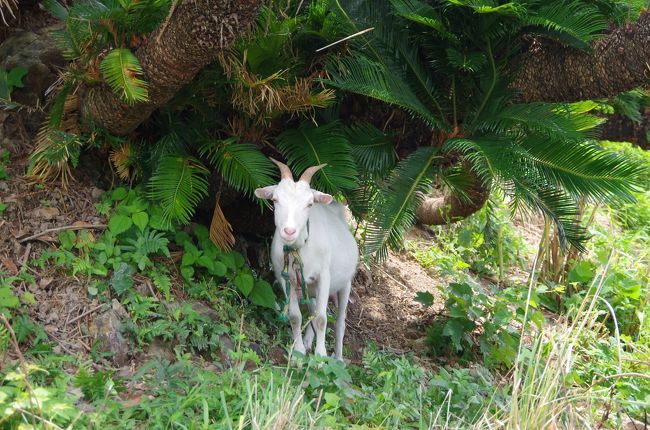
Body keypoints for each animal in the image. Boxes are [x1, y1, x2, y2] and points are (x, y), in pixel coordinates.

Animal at [253, 158, 356, 360]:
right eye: (275, 200)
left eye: (309, 204)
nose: (289, 231)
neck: (300, 248)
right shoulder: (287, 277)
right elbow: (295, 316)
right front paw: (298, 351)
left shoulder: (324, 276)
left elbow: (322, 319)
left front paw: (321, 356)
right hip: (309, 288)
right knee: (311, 311)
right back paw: (308, 342)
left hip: (346, 283)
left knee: (339, 322)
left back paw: (338, 357)